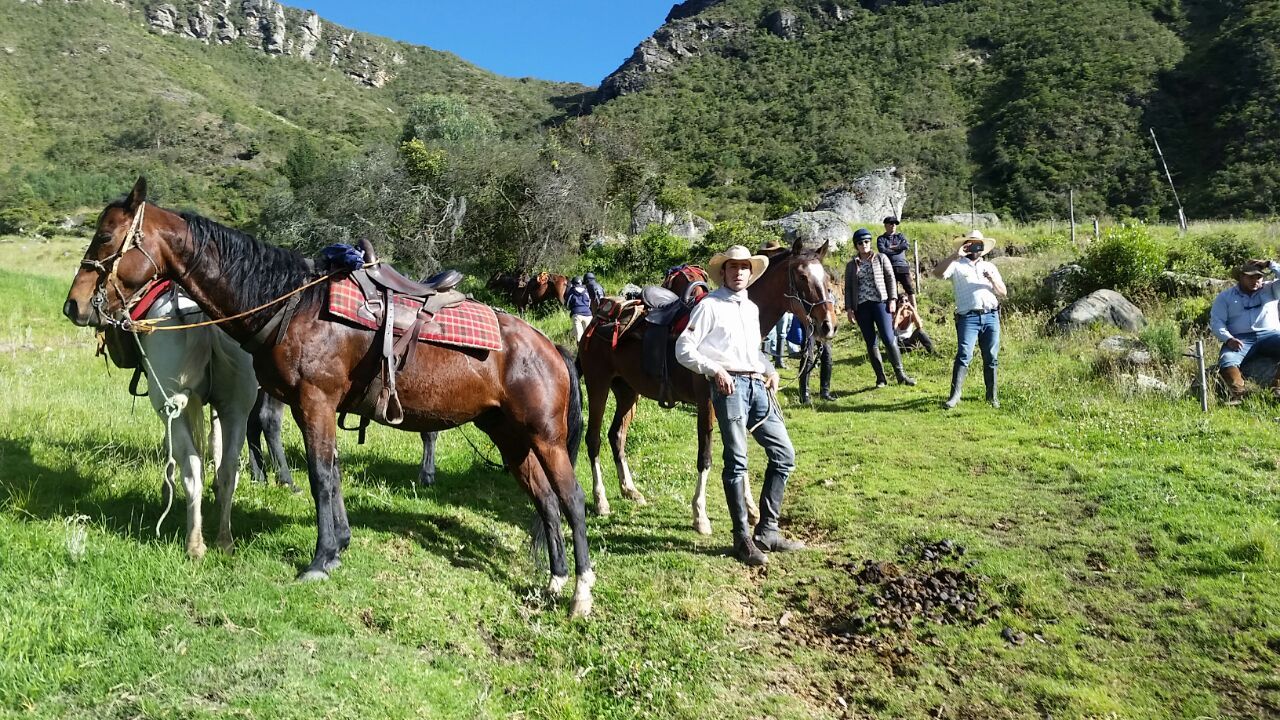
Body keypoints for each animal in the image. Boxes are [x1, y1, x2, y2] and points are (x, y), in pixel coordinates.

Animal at [133, 285, 257, 556]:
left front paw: (165, 486)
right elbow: (215, 440)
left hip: (168, 404)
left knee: (191, 468)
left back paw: (194, 544)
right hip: (237, 410)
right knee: (229, 469)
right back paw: (225, 540)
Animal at [581, 239, 839, 532]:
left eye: (827, 279)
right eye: (802, 277)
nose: (828, 325)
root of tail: (596, 319)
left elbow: (739, 453)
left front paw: (751, 509)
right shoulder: (708, 404)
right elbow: (705, 456)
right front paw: (700, 515)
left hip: (627, 392)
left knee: (616, 436)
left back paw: (630, 490)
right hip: (598, 386)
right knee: (594, 439)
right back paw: (601, 501)